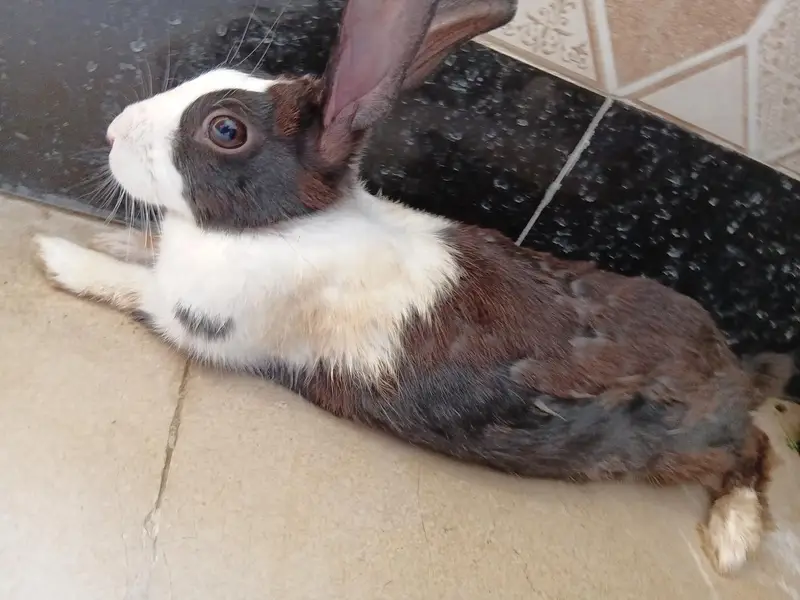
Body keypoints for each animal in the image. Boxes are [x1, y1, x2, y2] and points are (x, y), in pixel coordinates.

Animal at [33, 0, 788, 576]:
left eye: (225, 129)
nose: (111, 131)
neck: (285, 224)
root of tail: (735, 373)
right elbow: (144, 254)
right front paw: (112, 239)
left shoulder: (201, 322)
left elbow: (133, 290)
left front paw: (58, 255)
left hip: (690, 446)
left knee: (755, 450)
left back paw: (732, 537)